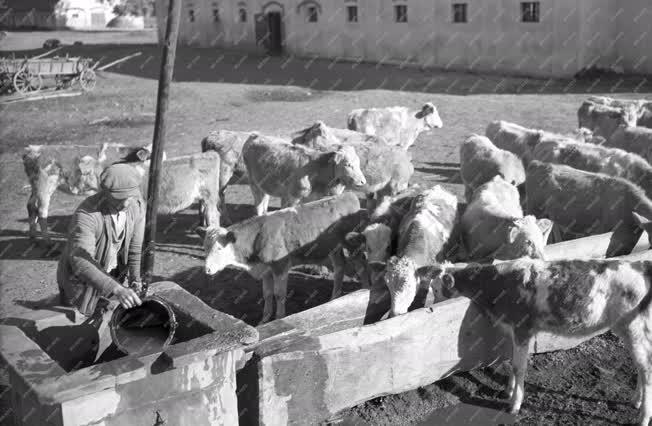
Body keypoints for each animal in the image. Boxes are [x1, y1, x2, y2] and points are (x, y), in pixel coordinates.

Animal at [22, 143, 157, 241]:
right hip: (44, 186)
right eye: (149, 157)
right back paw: (47, 241)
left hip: (35, 187)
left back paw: (33, 236)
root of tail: (32, 150)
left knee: (31, 206)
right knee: (41, 211)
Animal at [196, 191, 370, 322]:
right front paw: (264, 320)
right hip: (333, 248)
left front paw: (279, 318)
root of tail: (347, 195)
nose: (207, 269)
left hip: (352, 245)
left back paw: (364, 288)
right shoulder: (265, 270)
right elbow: (267, 295)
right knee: (339, 267)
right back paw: (334, 297)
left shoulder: (280, 266)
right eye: (205, 247)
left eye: (219, 248)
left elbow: (279, 294)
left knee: (361, 265)